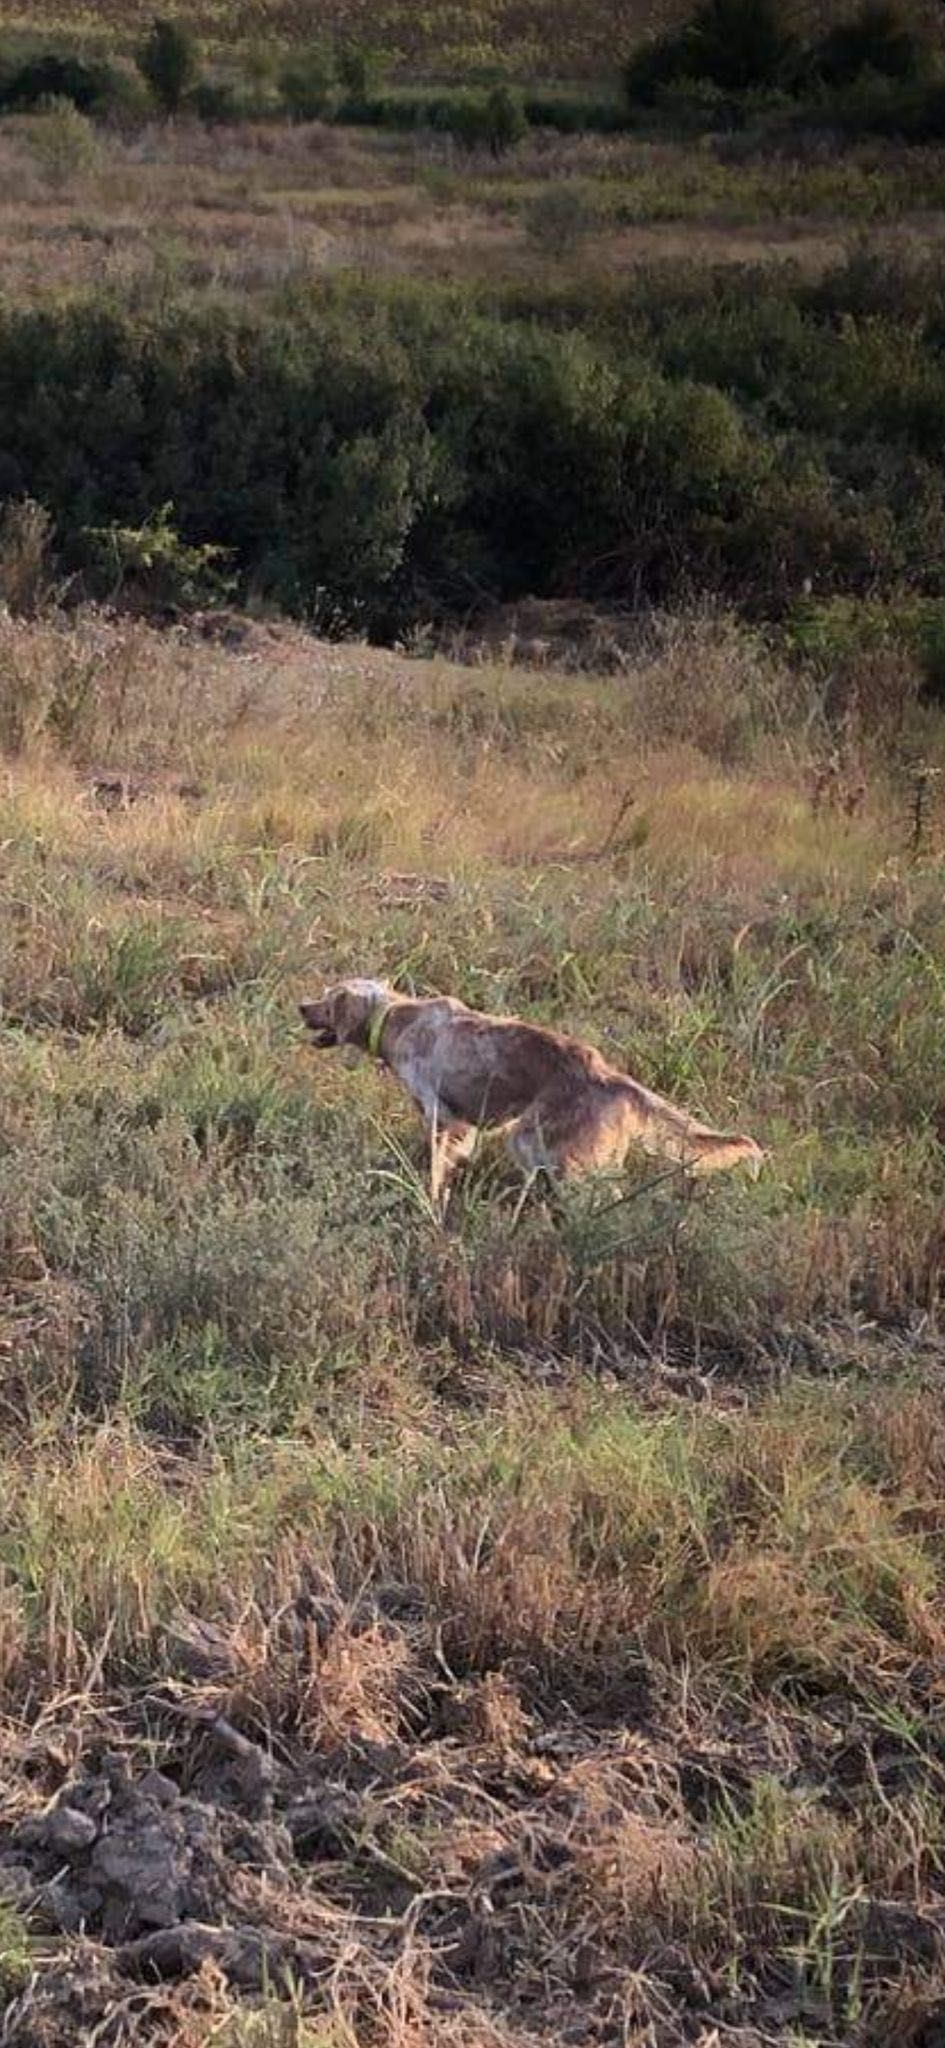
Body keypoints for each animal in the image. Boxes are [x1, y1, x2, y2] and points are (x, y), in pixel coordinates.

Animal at [301, 978, 766, 1212]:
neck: (397, 1018)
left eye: (327, 999)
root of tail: (606, 1074)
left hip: (531, 1140)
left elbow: (434, 1169)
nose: (300, 1006)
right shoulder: (464, 1125)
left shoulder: (443, 1118)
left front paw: (430, 1204)